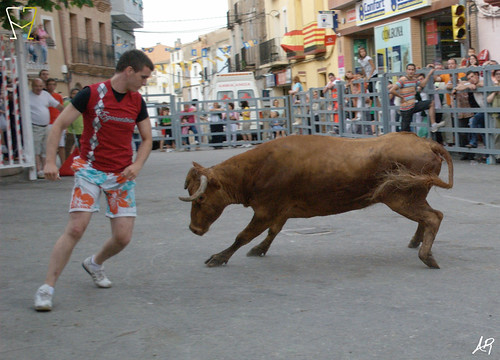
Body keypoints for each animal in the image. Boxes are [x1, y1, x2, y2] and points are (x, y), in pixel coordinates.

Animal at [180, 134, 454, 268]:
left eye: (201, 197)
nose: (194, 229)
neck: (258, 168)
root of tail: (427, 143)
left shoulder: (265, 210)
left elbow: (243, 236)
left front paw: (219, 257)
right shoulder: (280, 211)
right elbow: (272, 232)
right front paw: (259, 250)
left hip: (400, 198)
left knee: (434, 216)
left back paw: (426, 256)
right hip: (412, 196)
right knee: (430, 217)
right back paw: (417, 243)